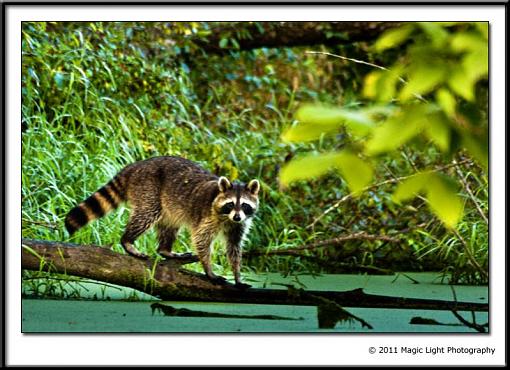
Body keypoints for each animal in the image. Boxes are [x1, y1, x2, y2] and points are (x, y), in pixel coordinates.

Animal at [64, 155, 260, 288]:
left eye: (244, 205)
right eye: (230, 204)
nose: (236, 216)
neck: (227, 219)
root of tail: (137, 165)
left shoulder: (239, 225)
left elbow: (234, 247)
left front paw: (237, 275)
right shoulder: (207, 216)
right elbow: (201, 240)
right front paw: (208, 269)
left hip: (167, 204)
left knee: (169, 226)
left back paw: (165, 250)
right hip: (148, 189)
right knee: (146, 214)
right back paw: (128, 240)